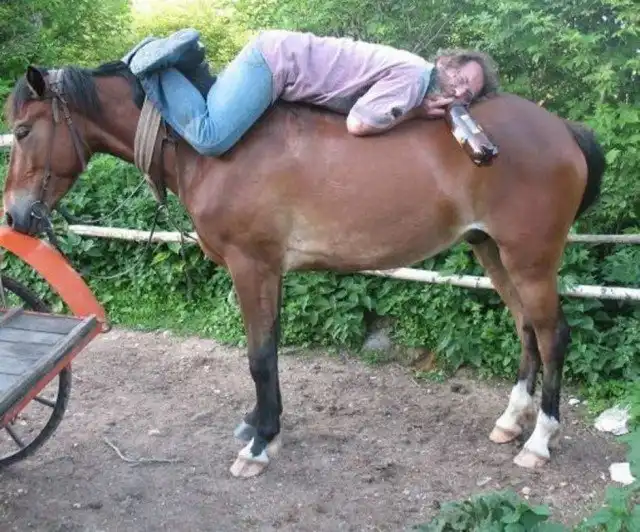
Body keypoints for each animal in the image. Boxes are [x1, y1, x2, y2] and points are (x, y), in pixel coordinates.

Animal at [2, 59, 605, 478]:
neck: (207, 141)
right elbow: (267, 353)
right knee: (526, 330)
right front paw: (261, 426)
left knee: (553, 335)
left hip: (530, 258)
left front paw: (258, 446)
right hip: (491, 251)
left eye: (24, 131)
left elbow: (259, 357)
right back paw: (510, 422)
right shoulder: (269, 272)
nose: (15, 216)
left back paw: (538, 442)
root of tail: (562, 128)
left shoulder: (252, 266)